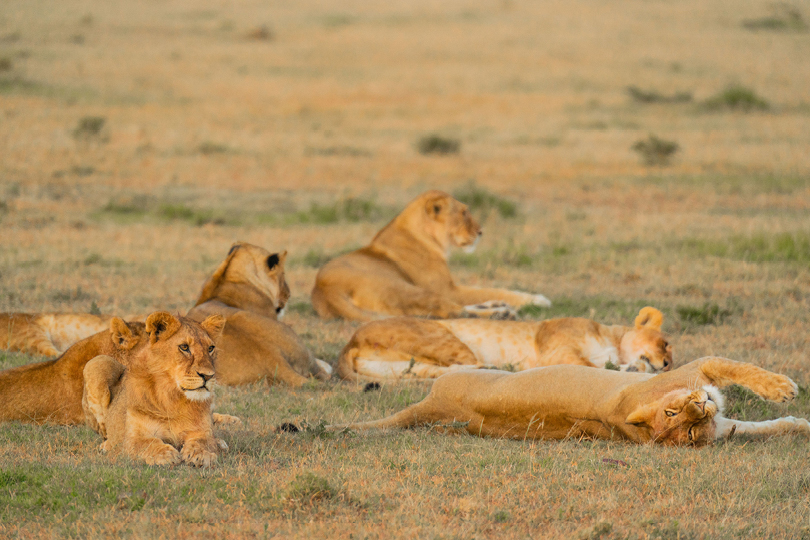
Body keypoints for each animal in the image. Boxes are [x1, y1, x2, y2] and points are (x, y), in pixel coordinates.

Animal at [83, 312, 229, 467]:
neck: (173, 397)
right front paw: (165, 454)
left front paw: (201, 453)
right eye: (184, 347)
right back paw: (106, 445)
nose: (208, 376)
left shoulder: (201, 430)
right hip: (98, 362)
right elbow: (148, 443)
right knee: (105, 433)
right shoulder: (133, 438)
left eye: (210, 348)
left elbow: (204, 441)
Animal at [310, 190, 552, 321]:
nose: (481, 231)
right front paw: (538, 299)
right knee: (452, 312)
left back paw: (496, 307)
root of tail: (324, 289)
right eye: (464, 213)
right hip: (410, 290)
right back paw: (501, 313)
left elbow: (483, 290)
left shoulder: (450, 288)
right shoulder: (447, 289)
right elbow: (489, 289)